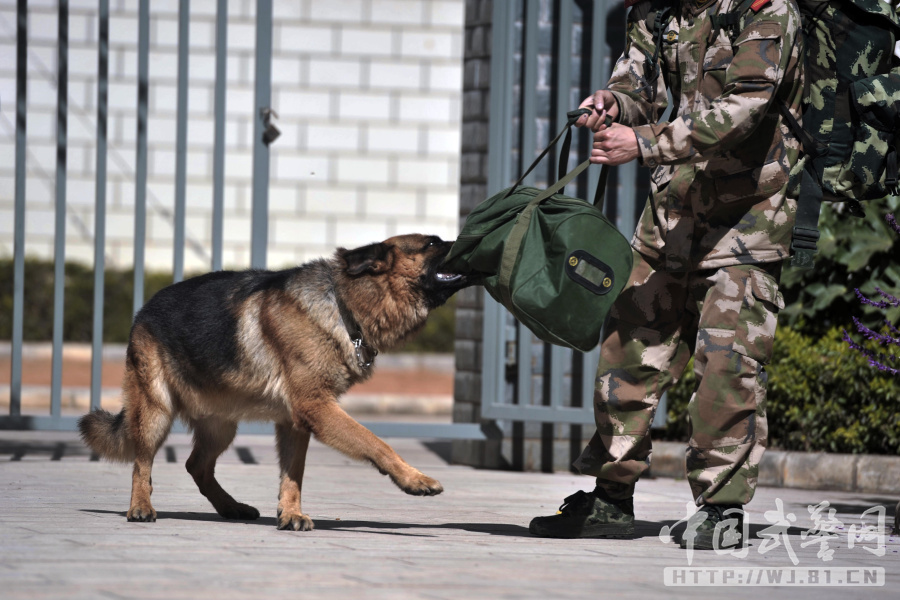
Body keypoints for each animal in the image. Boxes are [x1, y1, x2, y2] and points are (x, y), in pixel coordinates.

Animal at [81, 234, 472, 528]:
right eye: (432, 243)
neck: (343, 304)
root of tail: (145, 308)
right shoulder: (317, 408)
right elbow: (376, 442)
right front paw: (414, 479)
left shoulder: (296, 422)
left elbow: (293, 473)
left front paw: (291, 513)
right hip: (156, 412)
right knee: (142, 462)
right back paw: (140, 507)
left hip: (221, 425)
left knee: (197, 465)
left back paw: (231, 507)